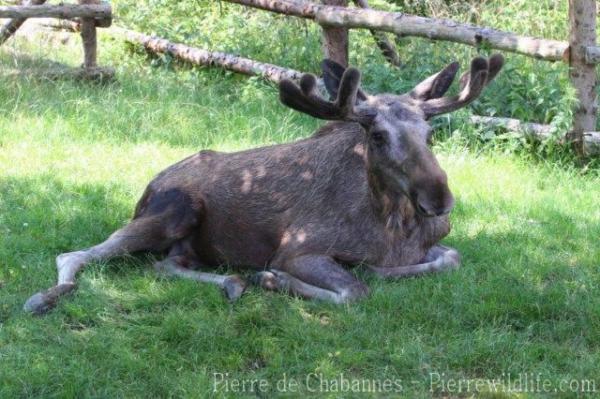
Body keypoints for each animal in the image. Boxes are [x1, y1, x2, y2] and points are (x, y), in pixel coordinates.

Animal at [22, 54, 502, 316]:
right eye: (378, 136)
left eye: (430, 133)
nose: (439, 200)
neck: (393, 224)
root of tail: (148, 188)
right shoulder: (297, 249)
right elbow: (354, 291)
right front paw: (273, 280)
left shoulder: (429, 247)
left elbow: (449, 258)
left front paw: (379, 268)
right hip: (173, 211)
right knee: (76, 255)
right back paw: (46, 297)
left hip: (186, 244)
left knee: (163, 266)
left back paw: (233, 282)